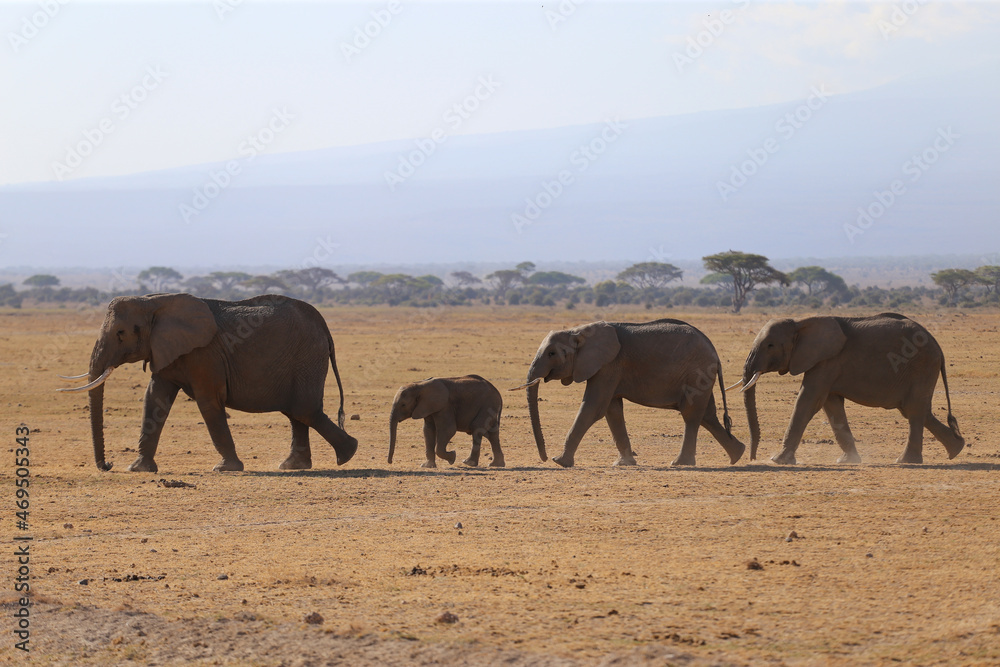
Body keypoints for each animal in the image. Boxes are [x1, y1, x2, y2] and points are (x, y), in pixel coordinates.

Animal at [56, 294, 358, 474]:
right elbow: (154, 400)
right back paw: (293, 466)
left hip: (307, 357)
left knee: (304, 410)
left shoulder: (204, 355)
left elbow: (208, 402)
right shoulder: (166, 350)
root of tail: (323, 324)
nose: (107, 465)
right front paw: (138, 468)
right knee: (296, 412)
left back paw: (348, 454)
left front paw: (225, 469)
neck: (153, 302)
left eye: (121, 333)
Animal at [524, 320, 744, 468]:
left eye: (552, 354)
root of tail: (715, 352)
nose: (544, 457)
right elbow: (612, 411)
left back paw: (680, 463)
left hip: (697, 372)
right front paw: (623, 464)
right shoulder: (609, 368)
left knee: (691, 415)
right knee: (707, 415)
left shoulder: (609, 365)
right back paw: (738, 455)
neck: (578, 330)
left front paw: (560, 462)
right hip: (701, 376)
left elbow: (593, 407)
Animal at [732, 314, 964, 464]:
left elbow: (808, 401)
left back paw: (906, 461)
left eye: (770, 345)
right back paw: (956, 450)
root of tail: (938, 345)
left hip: (922, 366)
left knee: (914, 410)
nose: (751, 457)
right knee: (917, 410)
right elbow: (831, 405)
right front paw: (847, 461)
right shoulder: (825, 364)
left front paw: (777, 460)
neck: (800, 322)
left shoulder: (827, 361)